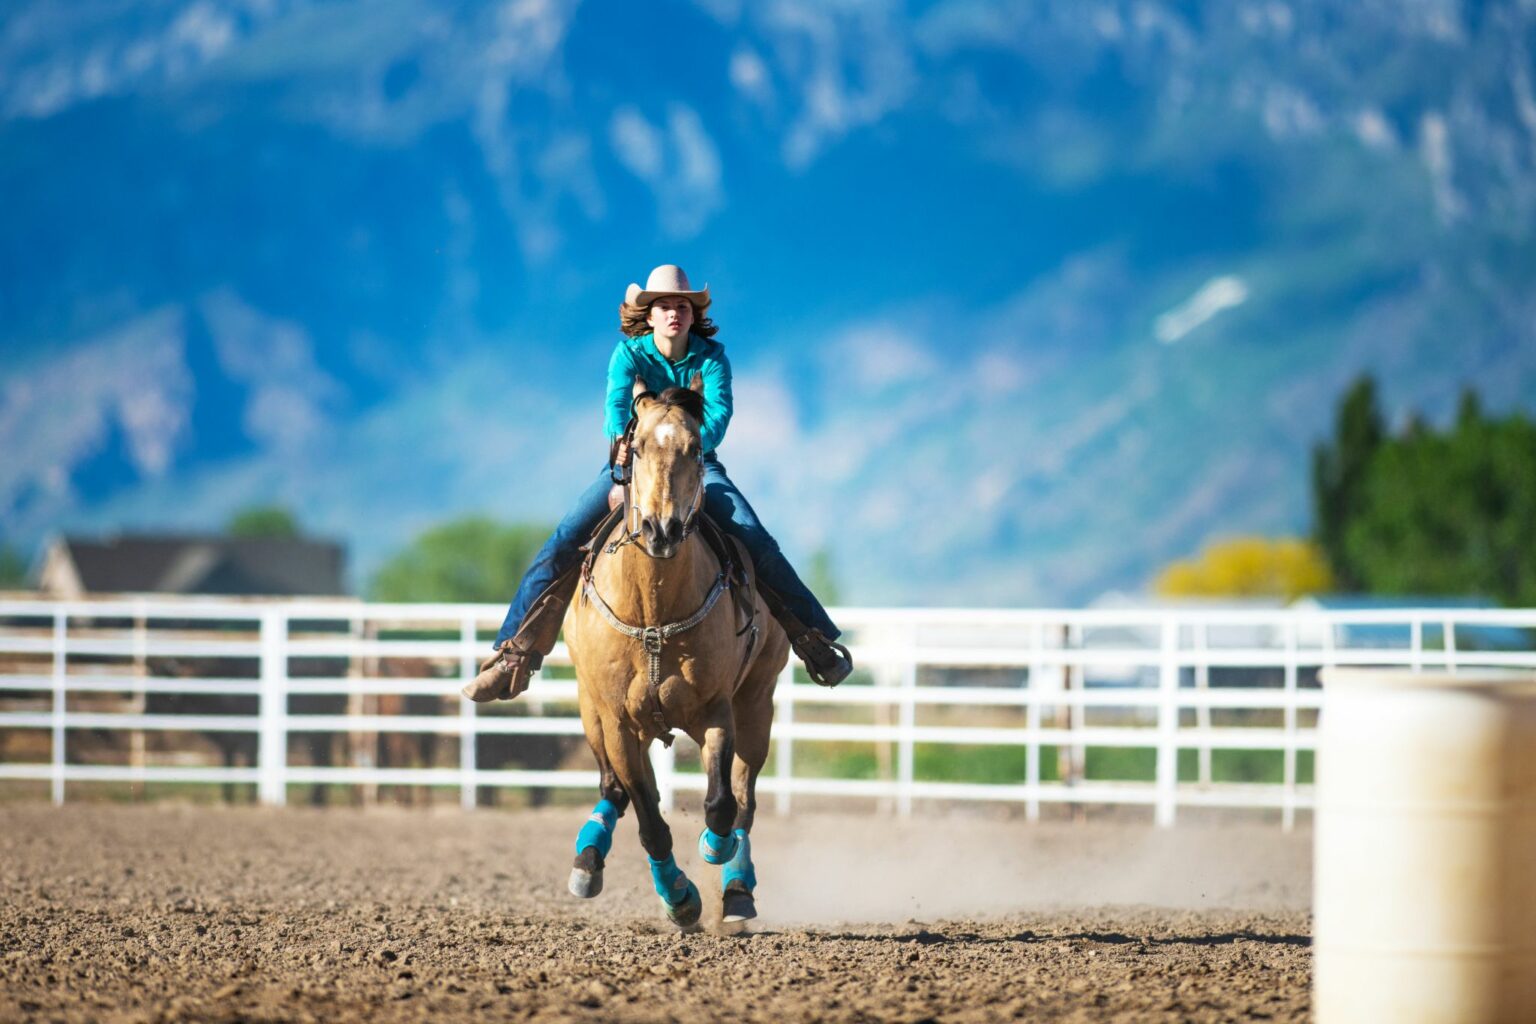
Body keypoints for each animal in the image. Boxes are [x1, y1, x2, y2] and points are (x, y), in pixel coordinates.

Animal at [561, 378, 789, 930]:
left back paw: (737, 890)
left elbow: (721, 804)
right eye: (637, 445)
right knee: (612, 789)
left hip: (758, 704)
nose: (660, 530)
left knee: (745, 799)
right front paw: (680, 898)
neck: (653, 615)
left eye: (696, 449)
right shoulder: (619, 724)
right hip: (590, 708)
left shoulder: (717, 711)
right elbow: (648, 818)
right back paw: (587, 861)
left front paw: (713, 849)